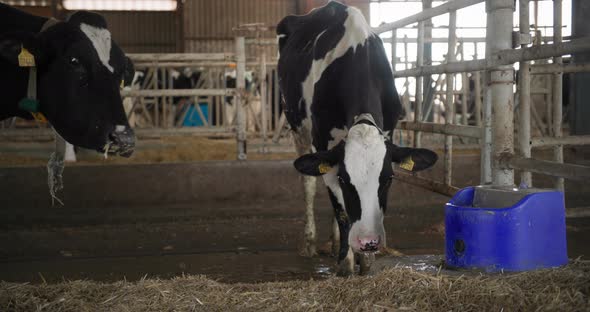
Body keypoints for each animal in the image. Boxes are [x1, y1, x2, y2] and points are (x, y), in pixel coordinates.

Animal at [278, 2, 440, 276]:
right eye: (345, 179)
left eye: (389, 179)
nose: (368, 242)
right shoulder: (323, 143)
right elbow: (341, 211)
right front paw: (346, 261)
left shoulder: (387, 131)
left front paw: (366, 260)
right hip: (298, 129)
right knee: (308, 184)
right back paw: (310, 243)